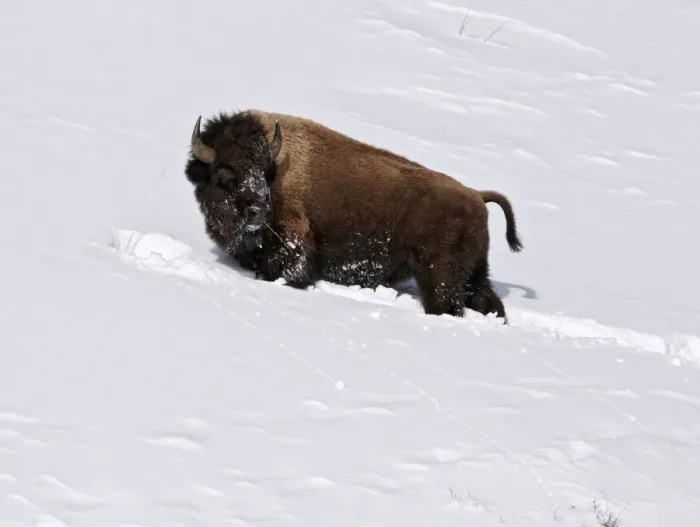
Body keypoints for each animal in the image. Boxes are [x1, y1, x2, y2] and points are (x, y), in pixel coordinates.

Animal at [184, 110, 523, 322]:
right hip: (474, 274)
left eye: (264, 171)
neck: (279, 173)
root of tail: (476, 194)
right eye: (224, 175)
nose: (258, 210)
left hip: (440, 275)